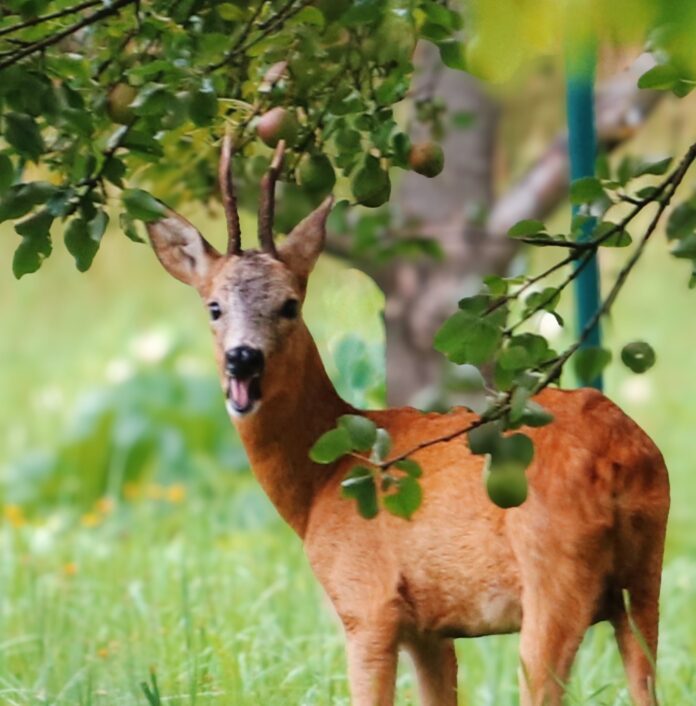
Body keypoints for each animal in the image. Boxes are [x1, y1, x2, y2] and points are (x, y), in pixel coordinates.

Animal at [145, 135, 668, 700]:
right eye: (214, 307)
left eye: (289, 304)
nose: (243, 359)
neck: (322, 481)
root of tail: (620, 458)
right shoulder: (430, 628)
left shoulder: (367, 602)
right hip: (645, 573)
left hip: (554, 569)